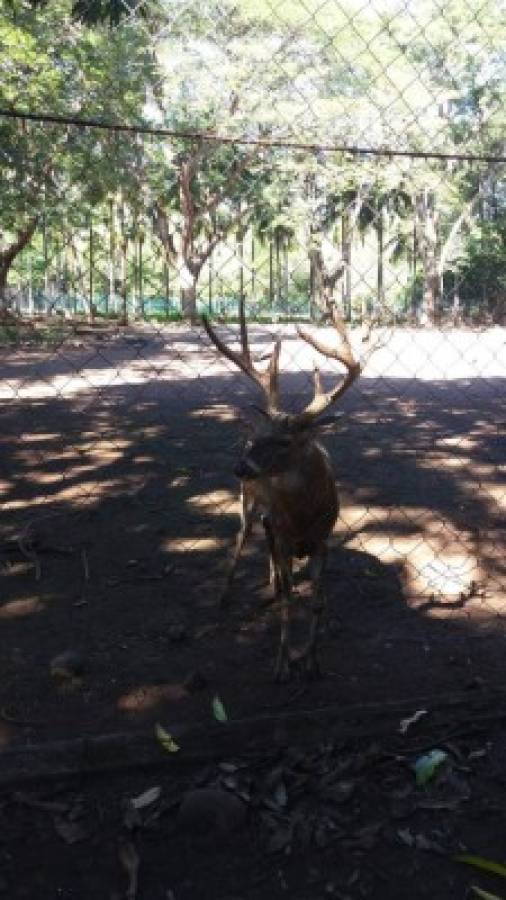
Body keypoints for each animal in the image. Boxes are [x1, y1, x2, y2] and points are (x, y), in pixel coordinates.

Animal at [202, 298, 372, 680]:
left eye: (284, 441)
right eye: (261, 436)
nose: (240, 467)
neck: (304, 516)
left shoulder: (322, 539)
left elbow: (318, 601)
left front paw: (312, 660)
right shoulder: (283, 533)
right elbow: (290, 599)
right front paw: (282, 662)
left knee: (267, 546)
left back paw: (270, 580)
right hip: (247, 503)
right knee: (241, 537)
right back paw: (223, 595)